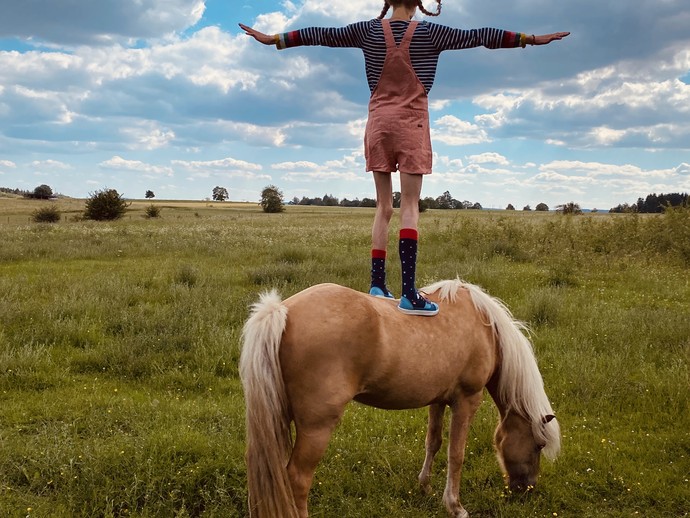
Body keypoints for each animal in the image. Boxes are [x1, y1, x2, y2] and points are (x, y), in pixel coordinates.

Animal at [239, 280, 556, 518]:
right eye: (539, 445)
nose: (526, 489)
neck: (485, 327)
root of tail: (282, 311)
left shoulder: (439, 399)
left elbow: (433, 442)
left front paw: (425, 487)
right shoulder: (467, 400)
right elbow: (456, 454)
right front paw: (455, 506)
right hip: (316, 428)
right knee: (297, 479)